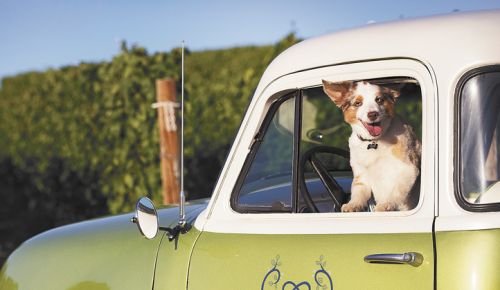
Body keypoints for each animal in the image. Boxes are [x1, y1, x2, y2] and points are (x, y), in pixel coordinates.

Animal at [322, 80, 420, 212]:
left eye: (379, 100)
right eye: (358, 103)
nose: (373, 114)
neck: (374, 141)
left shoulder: (409, 169)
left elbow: (397, 191)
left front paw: (386, 204)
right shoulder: (361, 174)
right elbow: (358, 192)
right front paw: (353, 204)